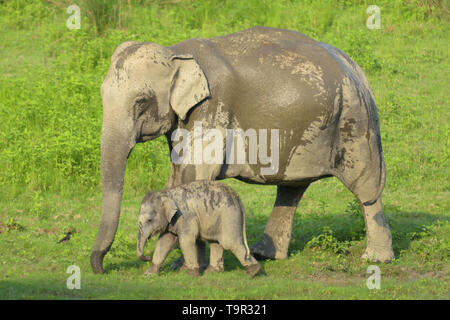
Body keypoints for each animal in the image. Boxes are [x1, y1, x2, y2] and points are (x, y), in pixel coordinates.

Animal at [91, 26, 394, 274]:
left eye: (141, 102)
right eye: (101, 94)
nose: (100, 268)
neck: (175, 52)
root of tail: (355, 68)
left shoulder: (211, 108)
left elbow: (194, 174)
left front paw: (182, 265)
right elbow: (178, 176)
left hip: (355, 122)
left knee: (366, 187)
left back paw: (376, 259)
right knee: (291, 188)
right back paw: (265, 254)